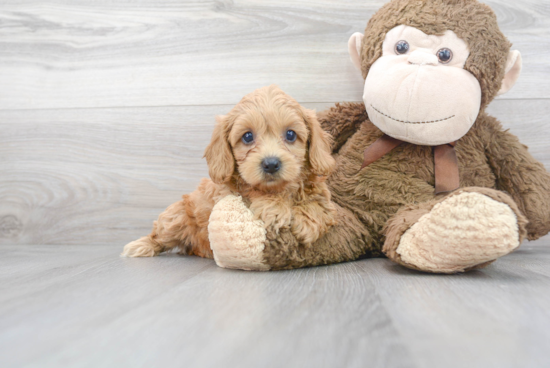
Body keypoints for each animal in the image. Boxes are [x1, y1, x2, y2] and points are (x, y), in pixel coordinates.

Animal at [122, 86, 336, 258]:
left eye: (290, 134)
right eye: (247, 136)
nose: (271, 164)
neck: (280, 189)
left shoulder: (321, 193)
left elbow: (320, 205)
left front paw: (307, 221)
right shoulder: (228, 193)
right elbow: (253, 190)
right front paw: (275, 208)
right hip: (176, 217)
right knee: (159, 235)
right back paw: (140, 246)